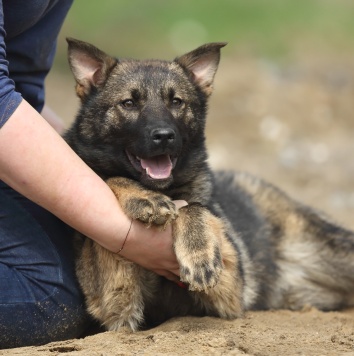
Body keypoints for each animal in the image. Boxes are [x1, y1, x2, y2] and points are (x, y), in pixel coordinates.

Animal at [63, 38, 354, 330]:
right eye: (129, 103)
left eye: (176, 102)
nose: (164, 136)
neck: (165, 187)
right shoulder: (114, 303)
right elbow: (112, 177)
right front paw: (146, 199)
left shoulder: (230, 286)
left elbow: (194, 208)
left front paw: (199, 253)